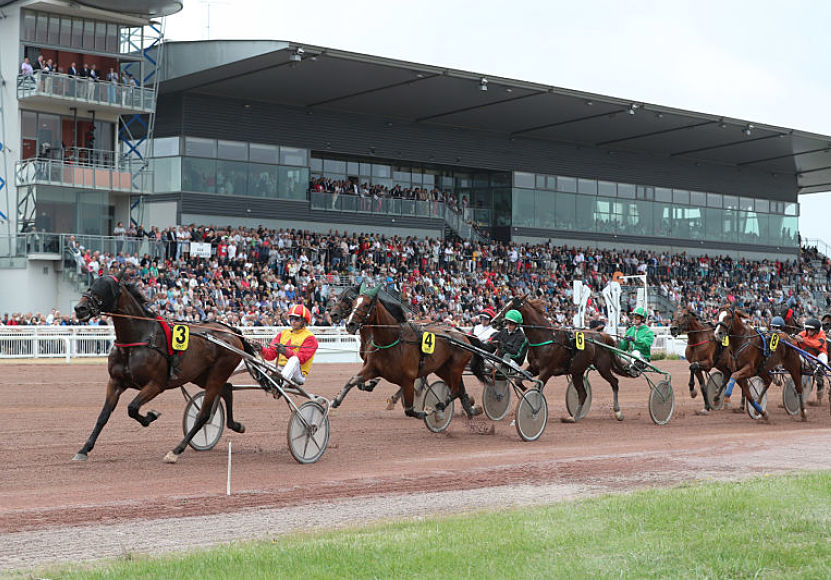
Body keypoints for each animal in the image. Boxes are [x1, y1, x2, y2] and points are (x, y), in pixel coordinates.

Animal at [73, 270, 258, 462]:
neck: (138, 340)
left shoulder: (156, 384)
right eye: (91, 285)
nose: (80, 308)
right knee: (227, 389)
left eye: (106, 288)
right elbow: (103, 416)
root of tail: (231, 331)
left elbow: (132, 408)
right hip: (200, 375)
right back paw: (236, 425)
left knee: (204, 414)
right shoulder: (115, 382)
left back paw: (176, 450)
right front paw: (84, 449)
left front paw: (150, 416)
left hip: (218, 372)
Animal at [334, 284, 490, 420]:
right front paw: (336, 400)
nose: (349, 324)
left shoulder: (408, 378)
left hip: (455, 367)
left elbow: (409, 410)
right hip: (443, 368)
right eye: (354, 302)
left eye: (366, 305)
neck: (392, 340)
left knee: (455, 390)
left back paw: (441, 406)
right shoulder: (372, 367)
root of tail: (460, 334)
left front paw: (426, 411)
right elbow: (353, 380)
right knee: (458, 389)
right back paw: (471, 409)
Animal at [490, 294, 628, 422]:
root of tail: (601, 335)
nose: (494, 321)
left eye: (512, 306)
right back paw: (574, 417)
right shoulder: (534, 367)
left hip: (602, 366)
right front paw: (525, 391)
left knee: (614, 382)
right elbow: (519, 380)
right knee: (583, 394)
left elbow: (537, 388)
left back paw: (618, 412)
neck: (545, 337)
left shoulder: (547, 371)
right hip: (577, 372)